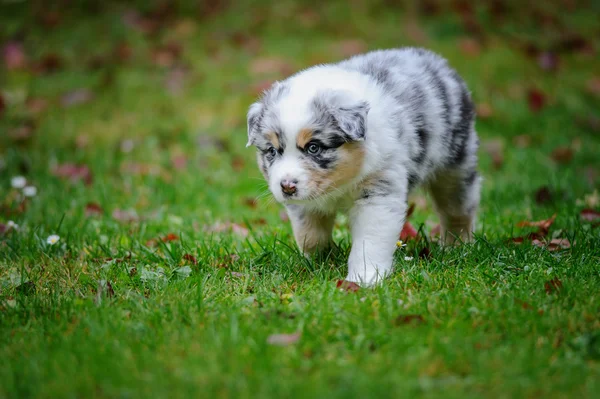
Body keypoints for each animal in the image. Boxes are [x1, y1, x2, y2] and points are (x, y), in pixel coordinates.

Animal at [246, 48, 480, 286]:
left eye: (314, 148)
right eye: (272, 151)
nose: (287, 187)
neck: (341, 183)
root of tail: (433, 58)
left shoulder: (378, 193)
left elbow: (370, 242)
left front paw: (363, 280)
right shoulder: (304, 205)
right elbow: (309, 234)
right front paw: (320, 261)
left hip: (456, 166)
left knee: (458, 209)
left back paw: (457, 246)